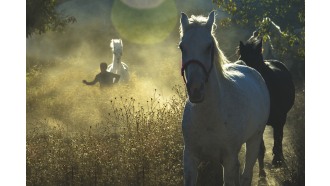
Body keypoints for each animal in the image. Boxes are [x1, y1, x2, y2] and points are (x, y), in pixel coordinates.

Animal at [180, 11, 270, 186]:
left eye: (209, 46)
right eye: (182, 47)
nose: (195, 90)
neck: (210, 116)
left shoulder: (229, 159)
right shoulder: (190, 158)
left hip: (254, 140)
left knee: (246, 174)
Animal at [238, 37, 296, 177]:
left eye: (257, 61)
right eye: (241, 57)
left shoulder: (280, 121)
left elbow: (278, 142)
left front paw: (277, 162)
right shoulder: (259, 124)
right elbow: (260, 149)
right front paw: (261, 172)